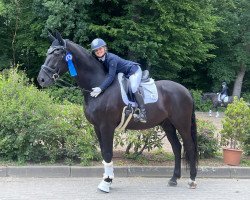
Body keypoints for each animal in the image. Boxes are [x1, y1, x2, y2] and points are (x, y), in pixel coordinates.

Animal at [37, 31, 198, 192]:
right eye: (48, 52)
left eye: (57, 53)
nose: (41, 79)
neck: (99, 86)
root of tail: (185, 91)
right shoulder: (97, 127)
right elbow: (104, 153)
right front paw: (108, 179)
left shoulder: (106, 126)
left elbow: (108, 153)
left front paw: (106, 182)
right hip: (168, 124)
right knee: (177, 147)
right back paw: (174, 179)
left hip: (182, 124)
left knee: (189, 147)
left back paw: (192, 180)